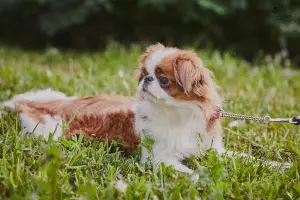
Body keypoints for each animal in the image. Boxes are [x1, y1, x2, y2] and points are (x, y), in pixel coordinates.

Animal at [1, 43, 290, 173]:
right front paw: (200, 177)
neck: (177, 114)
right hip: (50, 132)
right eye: (145, 75)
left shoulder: (212, 149)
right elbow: (191, 172)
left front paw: (279, 165)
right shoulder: (159, 158)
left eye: (163, 79)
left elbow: (247, 158)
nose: (146, 80)